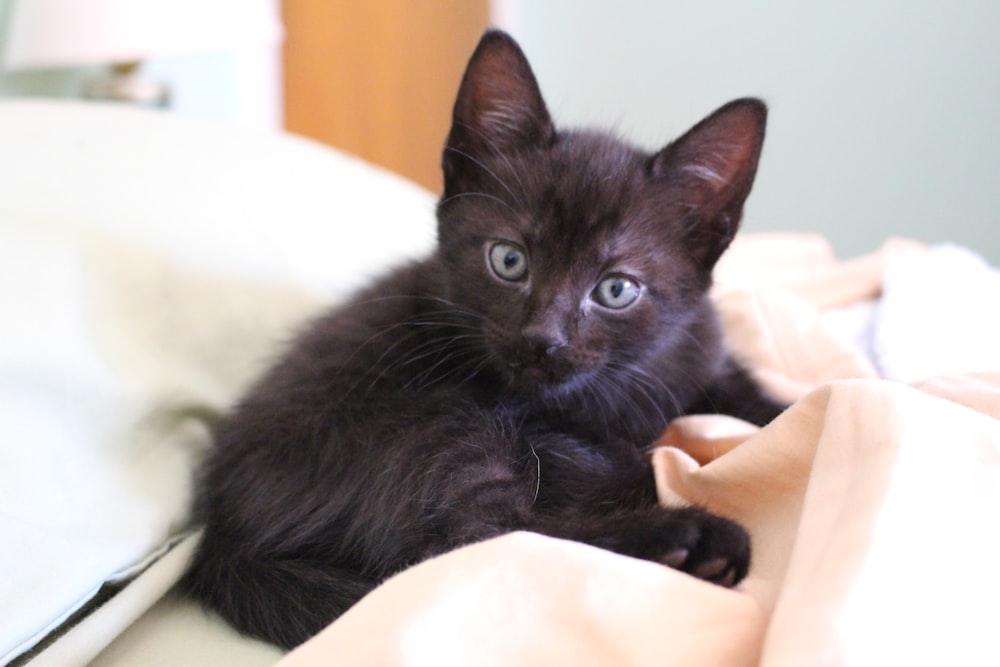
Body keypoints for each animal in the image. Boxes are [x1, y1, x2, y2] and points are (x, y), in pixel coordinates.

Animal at [184, 32, 784, 652]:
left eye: (617, 289)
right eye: (508, 260)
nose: (542, 339)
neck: (618, 382)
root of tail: (221, 537)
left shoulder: (704, 353)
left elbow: (767, 402)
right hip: (434, 418)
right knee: (477, 544)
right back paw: (694, 540)